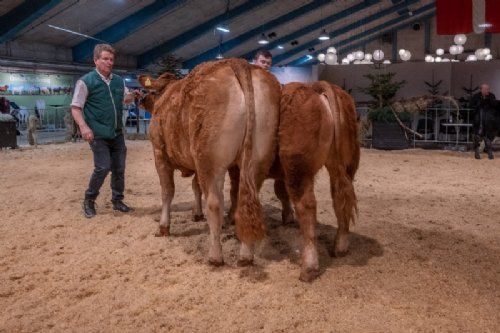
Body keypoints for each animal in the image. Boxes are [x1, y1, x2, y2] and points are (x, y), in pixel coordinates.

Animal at [139, 58, 284, 266]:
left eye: (150, 92)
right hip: (256, 160)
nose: (140, 100)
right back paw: (245, 255)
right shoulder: (196, 162)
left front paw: (163, 227)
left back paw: (215, 256)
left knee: (215, 203)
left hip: (210, 160)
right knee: (245, 201)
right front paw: (196, 214)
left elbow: (167, 191)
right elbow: (196, 186)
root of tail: (238, 63)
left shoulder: (160, 152)